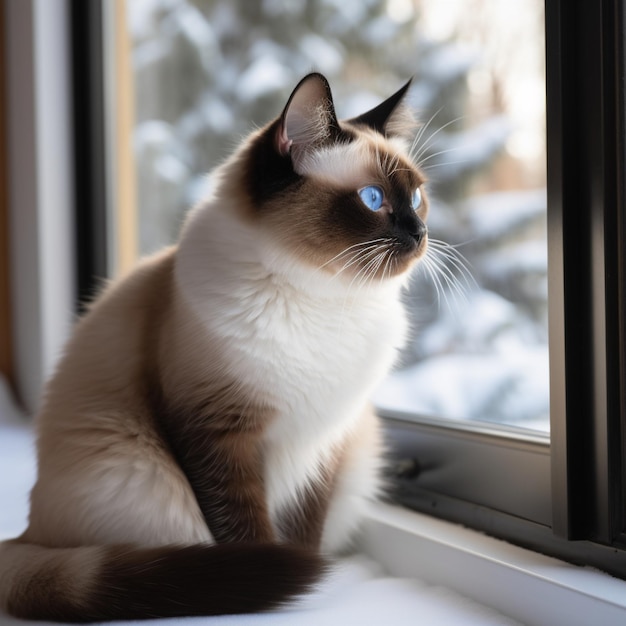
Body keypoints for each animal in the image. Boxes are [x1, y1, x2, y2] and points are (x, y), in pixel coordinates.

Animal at [0, 73, 428, 620]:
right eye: (373, 199)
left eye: (417, 197)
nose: (421, 232)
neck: (325, 299)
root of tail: (26, 535)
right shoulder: (217, 431)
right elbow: (247, 533)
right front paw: (279, 583)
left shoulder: (324, 440)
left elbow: (305, 531)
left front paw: (307, 579)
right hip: (137, 477)